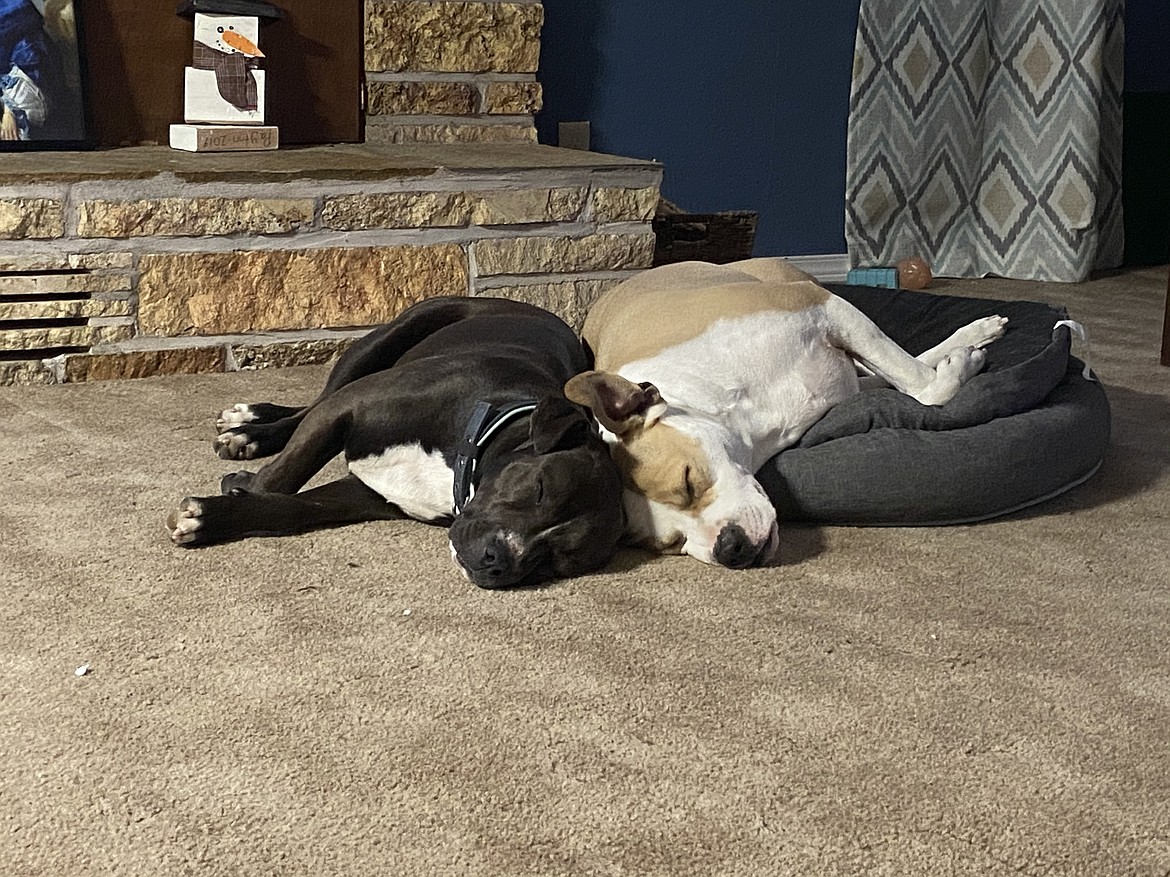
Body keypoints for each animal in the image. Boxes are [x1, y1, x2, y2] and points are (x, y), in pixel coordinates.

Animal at [164, 297, 627, 591]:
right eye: (539, 489)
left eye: (558, 559)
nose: (499, 561)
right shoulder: (349, 408)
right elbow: (282, 476)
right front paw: (235, 491)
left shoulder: (367, 493)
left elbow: (291, 508)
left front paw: (217, 515)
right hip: (381, 343)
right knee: (315, 401)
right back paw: (249, 431)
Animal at [566, 257, 1006, 570]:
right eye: (671, 543)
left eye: (687, 482)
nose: (731, 549)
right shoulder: (847, 379)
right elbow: (904, 381)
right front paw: (955, 364)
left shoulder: (825, 309)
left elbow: (920, 387)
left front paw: (957, 366)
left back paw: (973, 337)